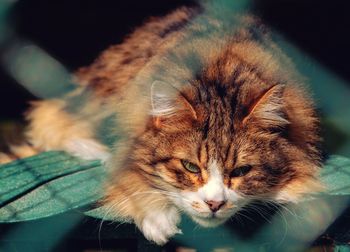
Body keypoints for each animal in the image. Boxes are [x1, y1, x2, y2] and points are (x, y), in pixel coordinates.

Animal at [2, 0, 322, 245]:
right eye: (190, 167)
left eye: (241, 170)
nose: (214, 204)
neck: (221, 67)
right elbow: (128, 176)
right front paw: (157, 217)